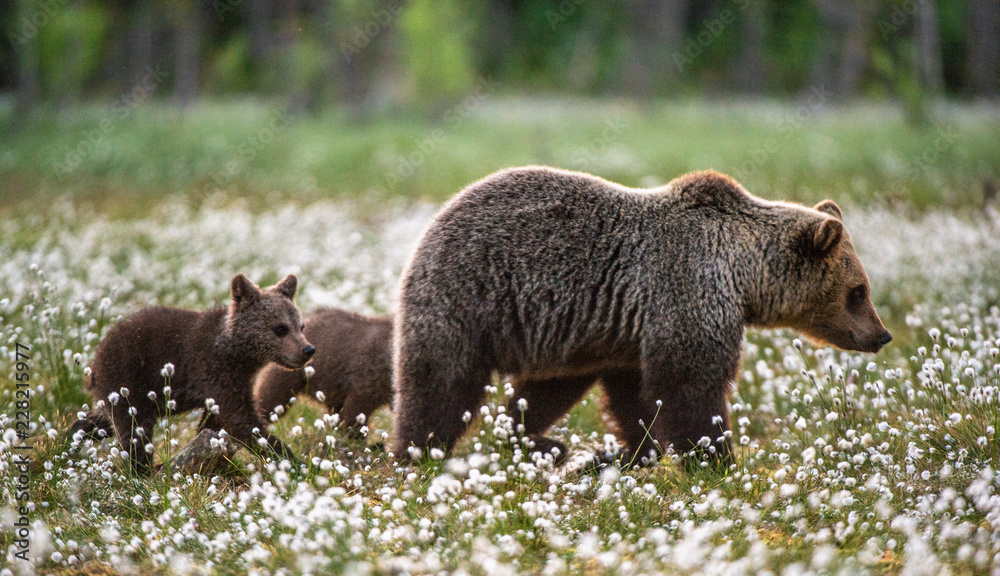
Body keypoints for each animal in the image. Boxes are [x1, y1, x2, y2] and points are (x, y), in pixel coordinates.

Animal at [70, 273, 314, 476]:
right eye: (280, 328)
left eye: (300, 326)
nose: (308, 350)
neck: (237, 353)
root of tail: (95, 360)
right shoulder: (215, 371)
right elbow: (241, 421)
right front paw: (296, 462)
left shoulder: (232, 382)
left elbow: (215, 421)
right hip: (129, 380)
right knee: (133, 430)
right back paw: (142, 470)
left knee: (105, 419)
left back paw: (72, 440)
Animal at [391, 166, 892, 468]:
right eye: (859, 291)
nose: (881, 335)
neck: (743, 273)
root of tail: (434, 220)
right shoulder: (688, 289)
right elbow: (688, 386)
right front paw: (716, 460)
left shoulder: (628, 331)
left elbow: (635, 395)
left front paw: (630, 453)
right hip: (468, 295)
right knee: (441, 381)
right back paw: (418, 451)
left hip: (565, 339)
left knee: (547, 387)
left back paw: (537, 441)